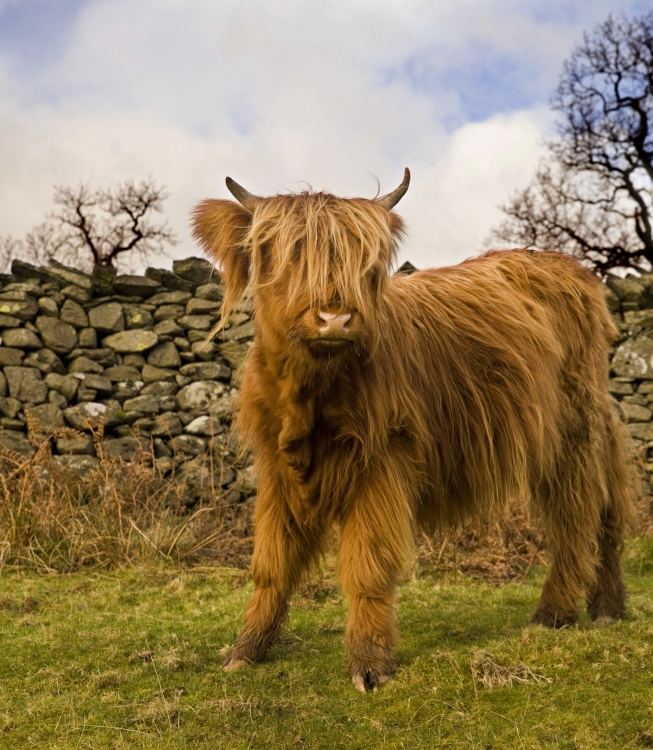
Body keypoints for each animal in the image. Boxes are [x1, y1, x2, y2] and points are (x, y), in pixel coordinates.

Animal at [191, 169, 636, 692]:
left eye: (365, 260)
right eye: (290, 252)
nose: (336, 317)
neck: (308, 393)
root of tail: (569, 267)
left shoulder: (382, 461)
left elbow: (366, 565)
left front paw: (369, 664)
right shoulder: (278, 467)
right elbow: (271, 564)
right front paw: (246, 649)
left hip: (572, 432)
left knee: (577, 516)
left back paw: (555, 612)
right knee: (606, 513)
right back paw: (608, 607)